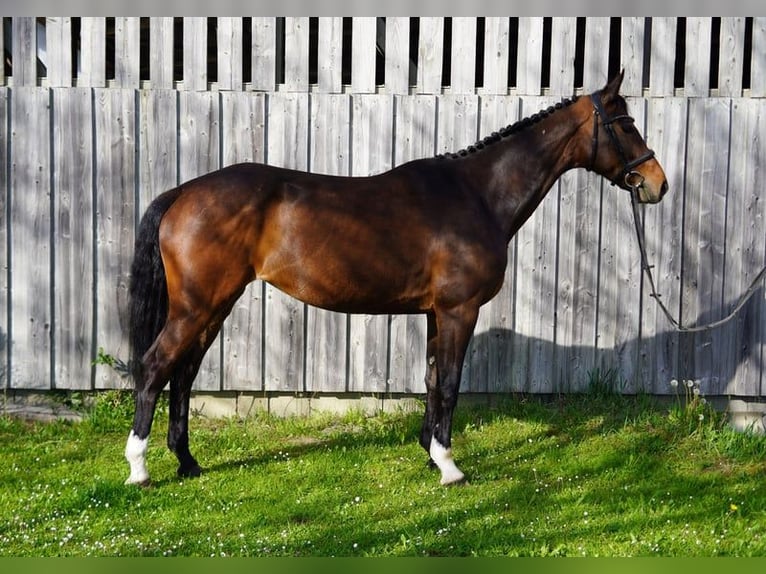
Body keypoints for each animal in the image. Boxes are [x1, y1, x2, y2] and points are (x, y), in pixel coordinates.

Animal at [124, 71, 668, 487]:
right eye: (625, 124)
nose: (657, 184)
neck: (477, 195)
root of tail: (183, 192)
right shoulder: (459, 310)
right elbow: (450, 382)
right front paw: (449, 467)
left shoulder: (435, 313)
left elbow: (431, 380)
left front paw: (430, 453)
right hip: (197, 306)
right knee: (155, 367)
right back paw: (139, 469)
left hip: (215, 305)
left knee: (183, 375)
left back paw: (188, 463)